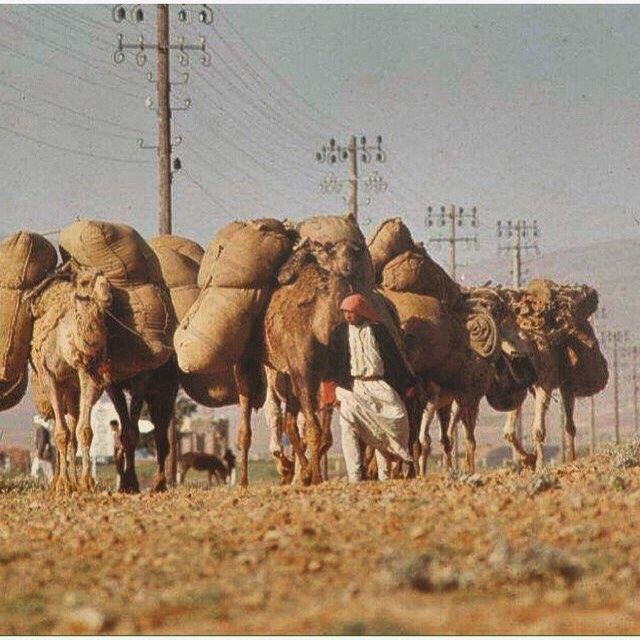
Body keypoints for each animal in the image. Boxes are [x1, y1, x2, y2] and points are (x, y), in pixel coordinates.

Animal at [28, 262, 112, 492]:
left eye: (107, 279)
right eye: (84, 282)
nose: (108, 294)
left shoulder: (87, 373)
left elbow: (84, 431)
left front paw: (86, 483)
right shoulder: (50, 377)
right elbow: (61, 434)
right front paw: (63, 484)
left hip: (73, 392)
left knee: (73, 430)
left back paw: (73, 480)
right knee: (62, 431)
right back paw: (60, 481)